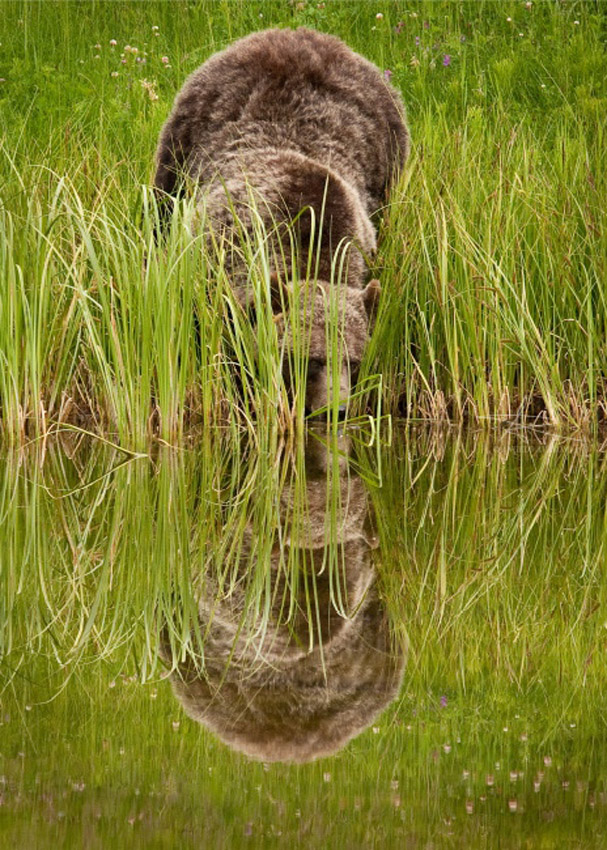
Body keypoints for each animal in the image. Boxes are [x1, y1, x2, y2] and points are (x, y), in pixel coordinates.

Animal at [154, 27, 409, 416]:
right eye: (313, 359)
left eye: (354, 361)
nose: (336, 409)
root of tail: (294, 32)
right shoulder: (214, 261)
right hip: (180, 148)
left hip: (390, 152)